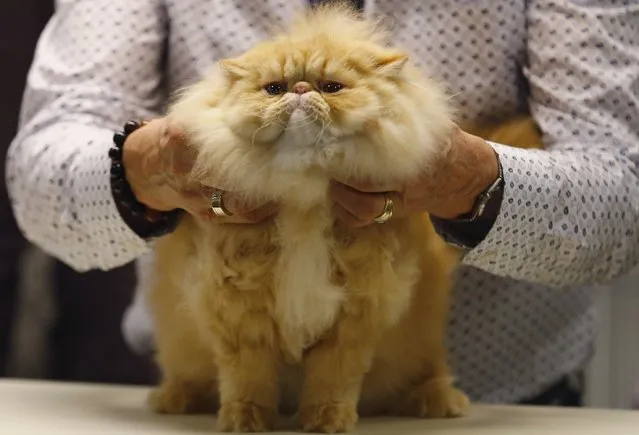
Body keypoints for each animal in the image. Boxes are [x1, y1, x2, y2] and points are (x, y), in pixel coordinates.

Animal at [149, 2, 470, 432]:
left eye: (332, 87)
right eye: (274, 89)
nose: (301, 90)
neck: (305, 197)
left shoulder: (354, 317)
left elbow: (333, 380)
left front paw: (327, 421)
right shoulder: (239, 314)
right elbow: (246, 379)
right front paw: (244, 420)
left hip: (421, 342)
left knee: (430, 372)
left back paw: (438, 400)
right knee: (185, 375)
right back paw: (172, 398)